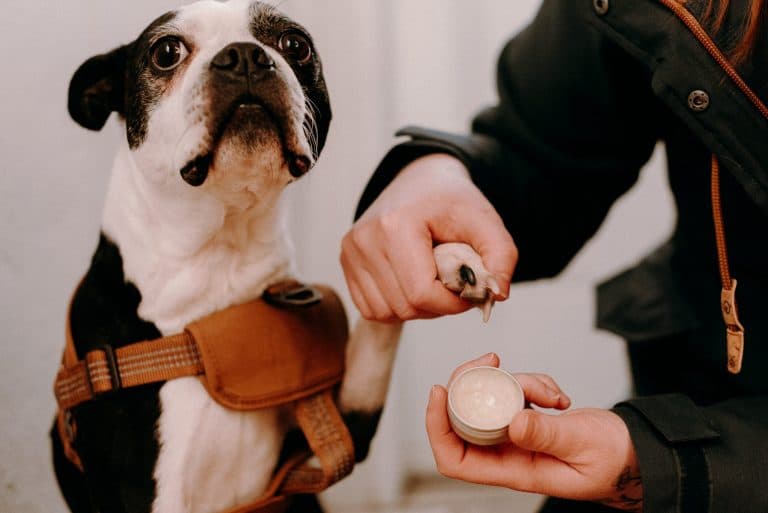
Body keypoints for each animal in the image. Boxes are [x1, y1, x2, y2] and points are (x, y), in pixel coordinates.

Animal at [54, 1, 498, 512]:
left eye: (294, 44)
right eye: (166, 52)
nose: (244, 55)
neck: (223, 247)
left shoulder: (338, 434)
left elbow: (378, 328)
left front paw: (443, 258)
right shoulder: (142, 494)